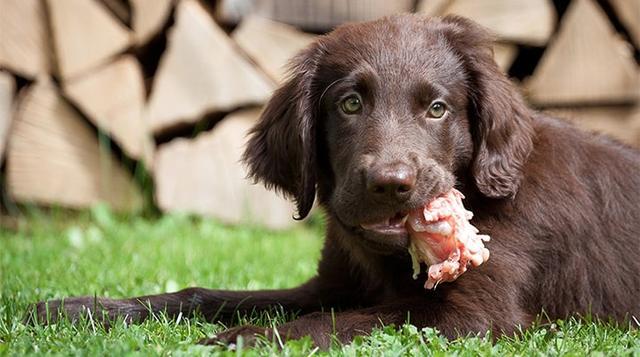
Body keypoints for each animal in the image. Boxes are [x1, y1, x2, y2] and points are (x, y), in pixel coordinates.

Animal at [33, 15, 640, 346]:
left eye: (437, 109)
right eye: (350, 103)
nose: (392, 183)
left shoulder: (474, 314)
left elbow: (337, 321)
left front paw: (242, 340)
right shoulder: (327, 284)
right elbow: (212, 295)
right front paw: (84, 309)